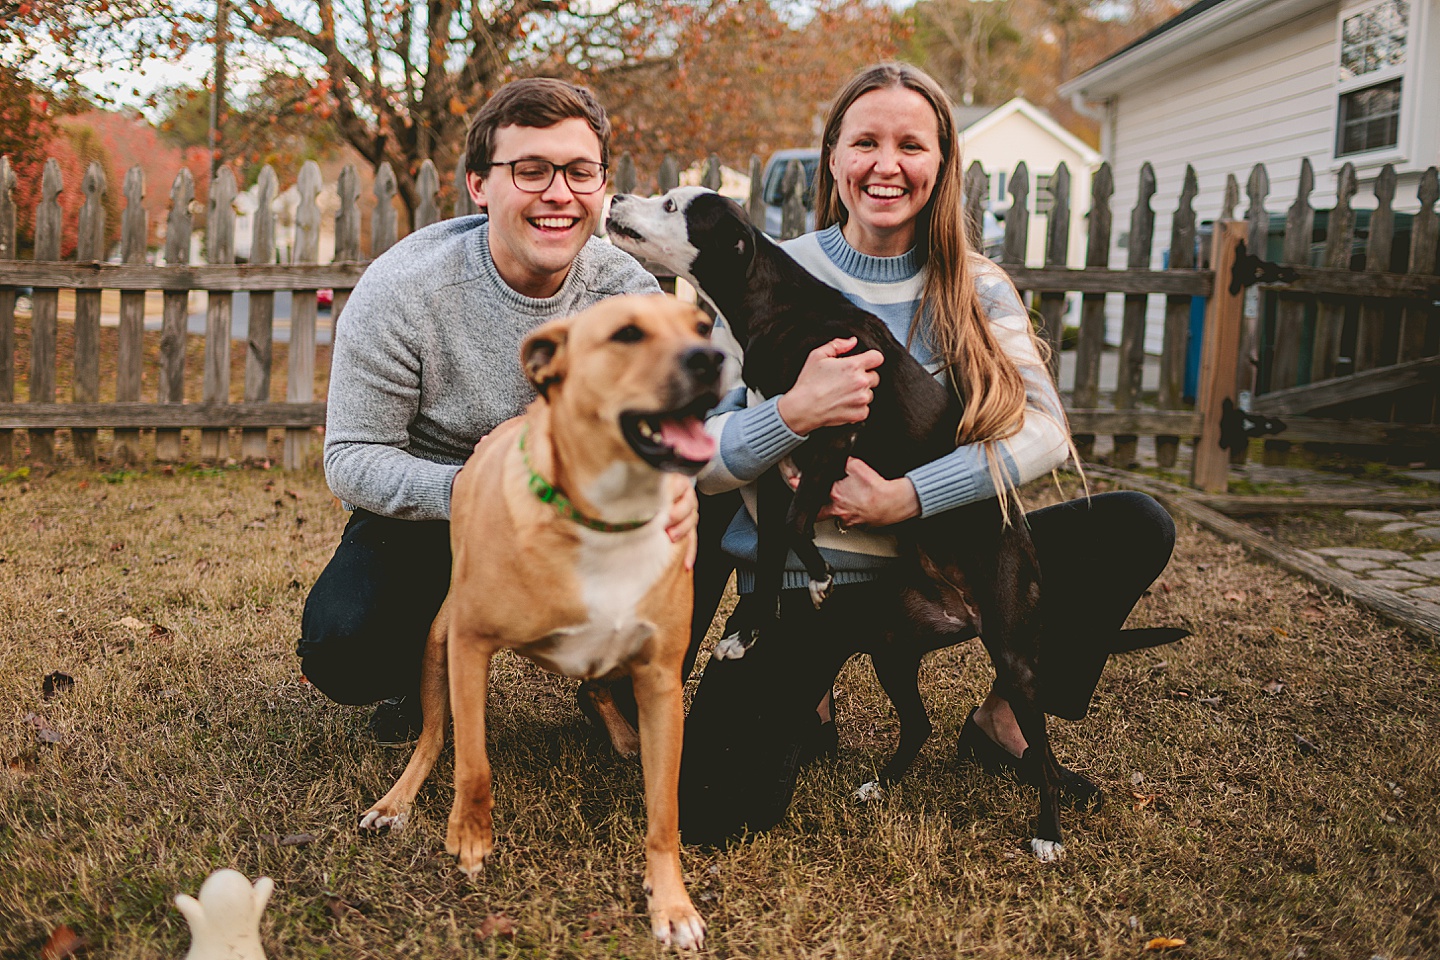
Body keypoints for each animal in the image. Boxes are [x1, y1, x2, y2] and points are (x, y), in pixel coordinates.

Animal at [360, 296, 720, 949]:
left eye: (703, 327)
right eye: (626, 335)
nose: (711, 357)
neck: (608, 519)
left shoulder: (660, 681)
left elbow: (665, 813)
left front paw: (671, 903)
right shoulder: (471, 644)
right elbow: (474, 763)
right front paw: (470, 838)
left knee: (594, 687)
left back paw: (624, 736)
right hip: (438, 645)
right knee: (434, 737)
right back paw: (396, 802)